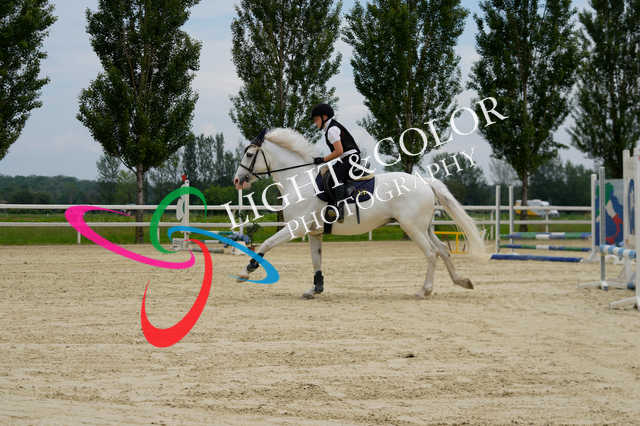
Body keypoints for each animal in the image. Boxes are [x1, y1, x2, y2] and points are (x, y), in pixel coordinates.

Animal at [232, 127, 486, 299]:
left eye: (249, 155)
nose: (237, 180)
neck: (300, 181)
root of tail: (425, 182)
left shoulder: (296, 228)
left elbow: (266, 244)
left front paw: (246, 271)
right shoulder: (314, 232)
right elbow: (316, 260)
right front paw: (315, 289)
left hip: (412, 227)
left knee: (432, 254)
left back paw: (424, 290)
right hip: (424, 227)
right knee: (443, 249)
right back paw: (462, 281)